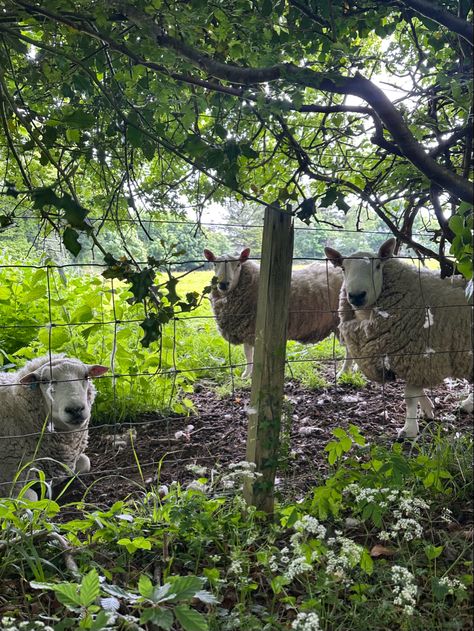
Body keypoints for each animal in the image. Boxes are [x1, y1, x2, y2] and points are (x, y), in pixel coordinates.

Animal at [0, 356, 108, 498]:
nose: (75, 409)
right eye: (45, 380)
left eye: (86, 376)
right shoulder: (8, 477)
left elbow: (85, 462)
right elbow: (32, 497)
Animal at [202, 248, 354, 380]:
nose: (223, 284)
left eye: (238, 264)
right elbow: (248, 353)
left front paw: (252, 375)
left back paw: (343, 372)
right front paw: (246, 375)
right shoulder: (245, 330)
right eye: (215, 263)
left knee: (349, 349)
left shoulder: (254, 329)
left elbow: (252, 355)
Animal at [326, 238, 474, 440]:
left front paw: (409, 430)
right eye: (343, 268)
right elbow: (417, 390)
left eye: (378, 266)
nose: (356, 296)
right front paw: (427, 408)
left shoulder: (420, 356)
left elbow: (410, 396)